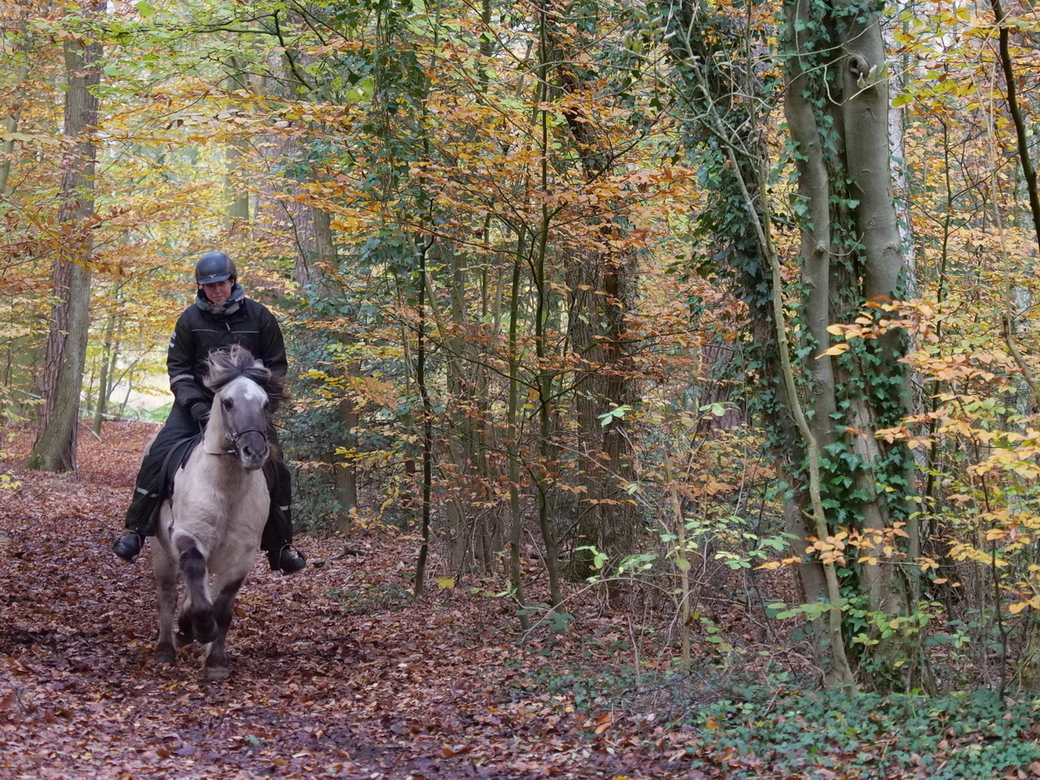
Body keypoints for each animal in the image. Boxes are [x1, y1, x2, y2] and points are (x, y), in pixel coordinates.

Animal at [151, 345, 284, 682]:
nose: (254, 452)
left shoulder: (242, 555)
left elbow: (222, 609)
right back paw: (166, 647)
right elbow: (195, 581)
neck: (226, 488)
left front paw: (215, 662)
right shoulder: (187, 535)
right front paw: (197, 627)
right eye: (228, 402)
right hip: (161, 552)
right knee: (169, 595)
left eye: (264, 403)